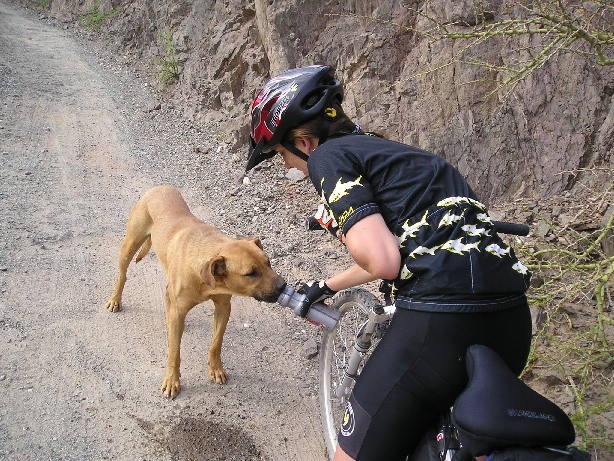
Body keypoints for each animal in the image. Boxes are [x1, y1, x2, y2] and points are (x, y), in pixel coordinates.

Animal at [106, 185, 286, 398]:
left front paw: (216, 369)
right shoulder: (179, 311)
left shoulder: (223, 306)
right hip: (130, 244)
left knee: (166, 295)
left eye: (268, 262)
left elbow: (216, 343)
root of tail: (159, 188)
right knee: (122, 275)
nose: (283, 286)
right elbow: (174, 352)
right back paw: (115, 299)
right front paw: (172, 380)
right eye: (251, 273)